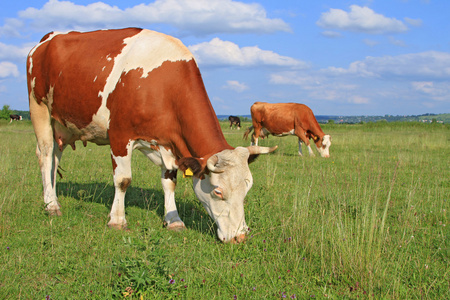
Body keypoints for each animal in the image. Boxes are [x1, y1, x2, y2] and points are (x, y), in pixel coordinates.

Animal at [27, 28, 278, 244]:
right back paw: (51, 205)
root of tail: (48, 38)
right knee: (46, 155)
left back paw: (52, 197)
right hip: (39, 108)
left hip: (63, 124)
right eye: (218, 191)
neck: (164, 86)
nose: (240, 236)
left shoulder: (168, 143)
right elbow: (123, 180)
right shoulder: (120, 136)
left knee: (55, 157)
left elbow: (170, 182)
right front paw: (117, 221)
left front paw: (174, 220)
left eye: (247, 190)